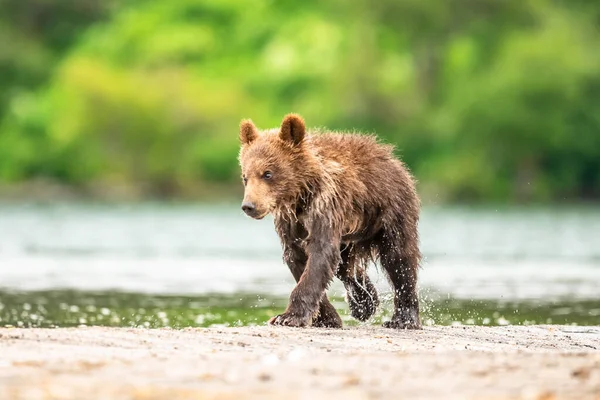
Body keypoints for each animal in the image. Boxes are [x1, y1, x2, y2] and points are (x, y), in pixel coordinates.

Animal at [237, 112, 420, 328]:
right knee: (345, 266)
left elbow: (319, 254)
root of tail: (393, 158)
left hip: (390, 212)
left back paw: (402, 318)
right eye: (245, 176)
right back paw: (364, 302)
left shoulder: (325, 206)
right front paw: (327, 318)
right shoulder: (290, 222)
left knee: (399, 259)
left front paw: (288, 316)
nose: (249, 206)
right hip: (349, 235)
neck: (300, 195)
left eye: (267, 173)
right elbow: (298, 258)